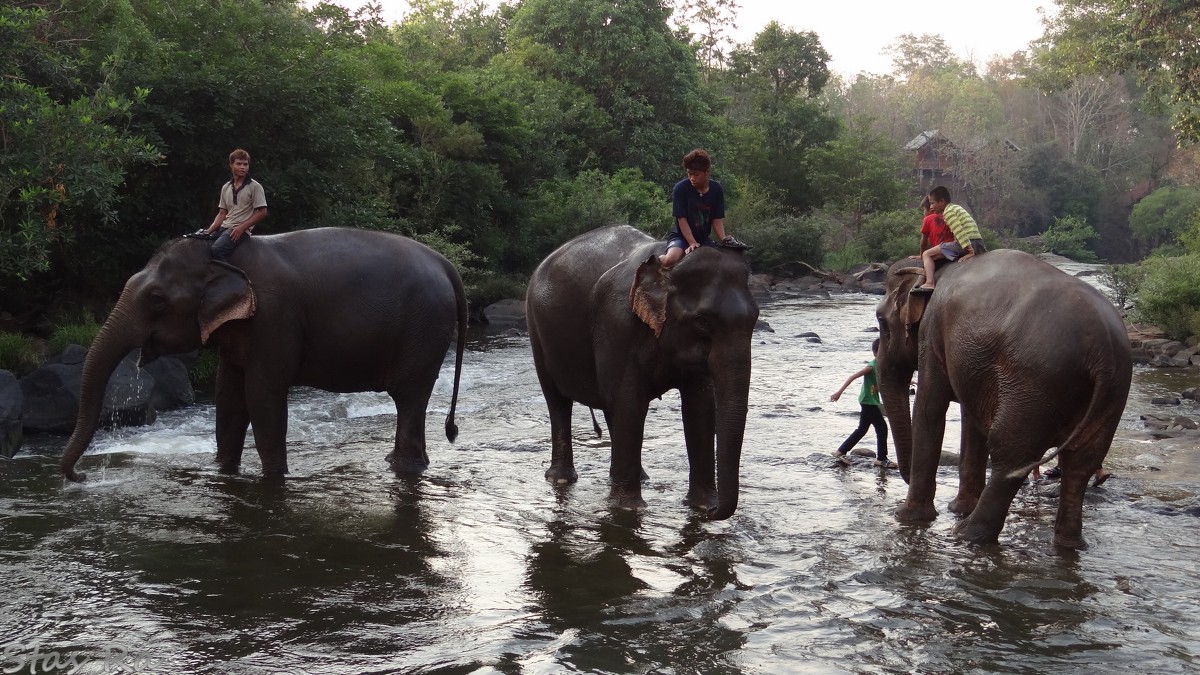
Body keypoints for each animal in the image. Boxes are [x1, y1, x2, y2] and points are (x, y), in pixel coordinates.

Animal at [60, 228, 465, 480]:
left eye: (157, 299)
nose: (82, 475)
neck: (225, 258)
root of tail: (447, 264)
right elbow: (228, 398)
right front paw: (224, 469)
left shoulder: (273, 319)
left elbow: (262, 397)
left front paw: (274, 477)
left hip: (424, 329)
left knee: (409, 398)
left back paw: (402, 466)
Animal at [528, 223, 758, 516]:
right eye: (702, 321)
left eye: (755, 318)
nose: (713, 514)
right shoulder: (617, 324)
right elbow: (631, 401)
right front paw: (628, 509)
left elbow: (699, 406)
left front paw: (702, 504)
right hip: (536, 330)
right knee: (558, 401)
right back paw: (560, 479)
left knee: (611, 407)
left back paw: (640, 477)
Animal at [878, 247, 1128, 547]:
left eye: (881, 321)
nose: (900, 474)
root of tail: (1103, 348)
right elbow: (970, 417)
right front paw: (957, 508)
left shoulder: (932, 333)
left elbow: (929, 409)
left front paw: (907, 516)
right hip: (1112, 391)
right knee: (1081, 461)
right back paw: (1068, 544)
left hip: (1033, 384)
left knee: (1010, 454)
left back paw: (965, 533)